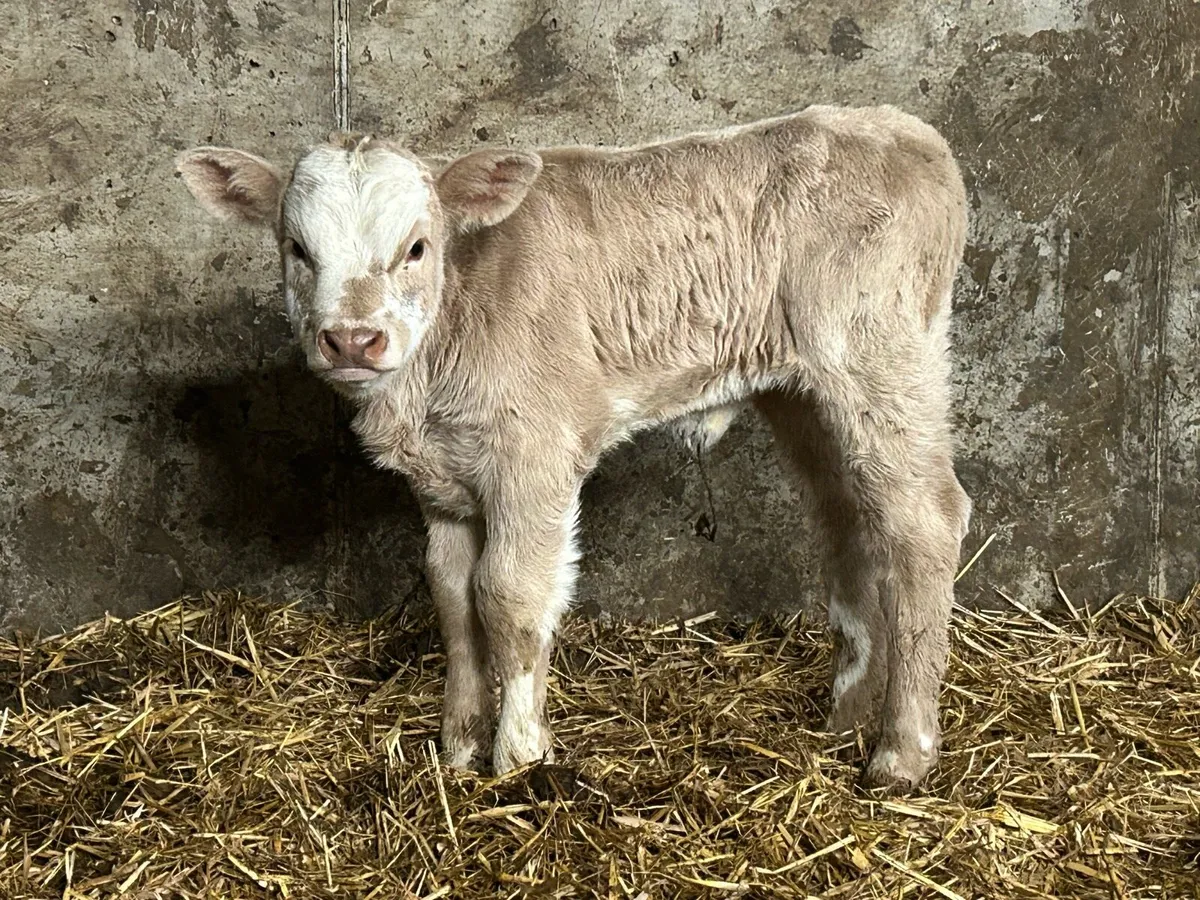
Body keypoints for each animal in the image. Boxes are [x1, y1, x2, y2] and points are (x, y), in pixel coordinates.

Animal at [176, 104, 971, 791]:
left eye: (416, 248)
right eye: (297, 250)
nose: (351, 339)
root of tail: (901, 129)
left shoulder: (535, 457)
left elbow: (507, 597)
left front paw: (519, 756)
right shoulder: (442, 486)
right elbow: (451, 597)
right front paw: (456, 746)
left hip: (879, 357)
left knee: (925, 520)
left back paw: (900, 753)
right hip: (804, 395)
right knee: (852, 522)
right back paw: (844, 721)